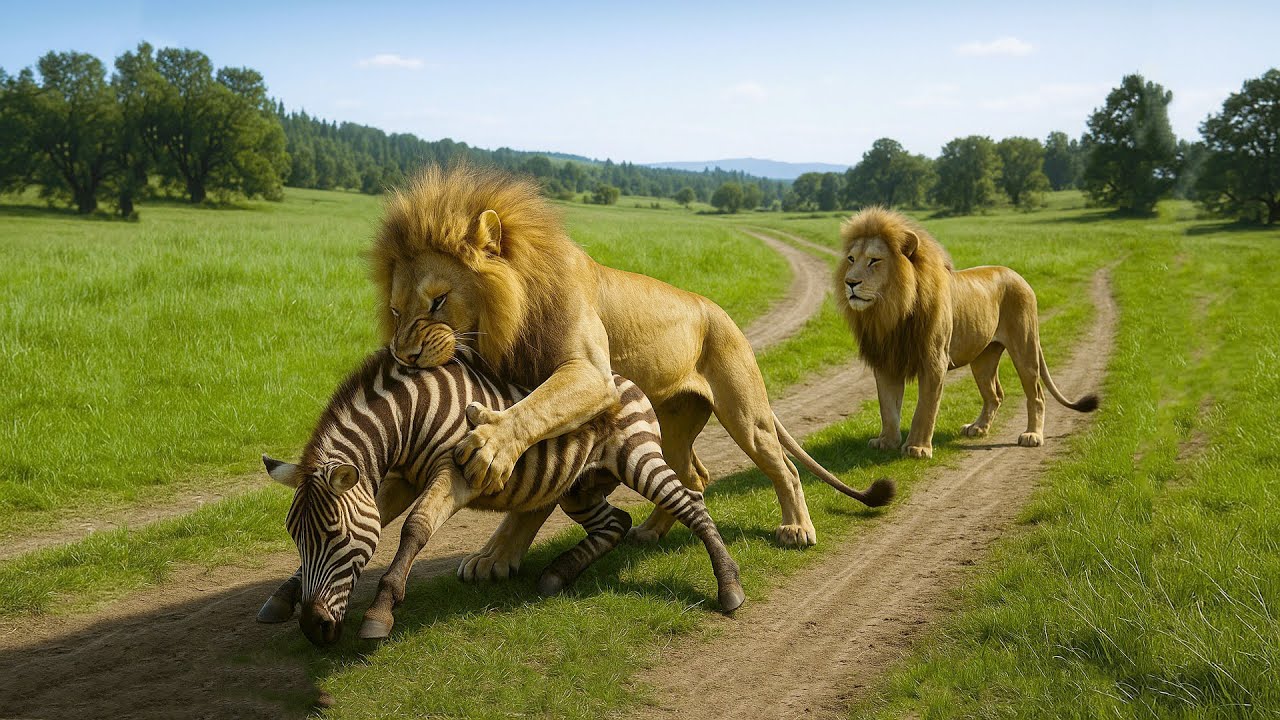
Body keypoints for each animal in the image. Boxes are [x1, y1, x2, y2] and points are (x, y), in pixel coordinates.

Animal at [257, 348, 746, 647]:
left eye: (336, 536)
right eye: (297, 538)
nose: (313, 628)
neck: (412, 417)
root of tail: (622, 379)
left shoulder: (454, 472)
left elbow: (415, 528)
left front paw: (380, 612)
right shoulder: (402, 479)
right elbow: (382, 520)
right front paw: (285, 595)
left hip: (636, 458)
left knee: (690, 502)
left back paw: (730, 587)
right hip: (580, 486)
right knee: (616, 523)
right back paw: (557, 574)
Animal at [371, 164, 893, 578]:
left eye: (438, 301)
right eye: (395, 311)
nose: (404, 356)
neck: (506, 320)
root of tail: (718, 312)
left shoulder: (592, 377)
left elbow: (531, 424)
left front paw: (489, 454)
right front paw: (494, 555)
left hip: (747, 416)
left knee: (785, 468)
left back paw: (796, 528)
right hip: (674, 422)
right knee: (693, 476)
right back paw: (650, 530)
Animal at [836, 207, 1097, 459]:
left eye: (874, 260)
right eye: (851, 259)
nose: (850, 282)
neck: (891, 311)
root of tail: (1017, 275)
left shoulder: (934, 361)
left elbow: (925, 408)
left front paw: (917, 448)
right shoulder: (886, 360)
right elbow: (888, 408)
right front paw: (887, 442)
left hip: (1025, 347)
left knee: (1036, 394)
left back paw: (1032, 435)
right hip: (983, 358)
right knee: (995, 395)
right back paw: (978, 427)